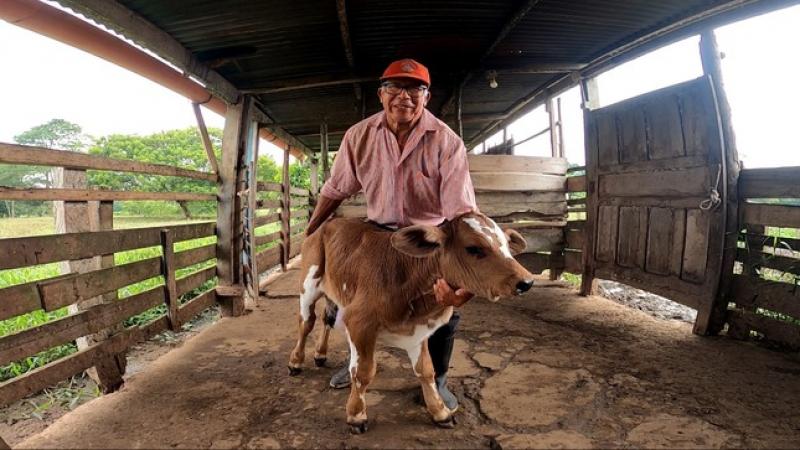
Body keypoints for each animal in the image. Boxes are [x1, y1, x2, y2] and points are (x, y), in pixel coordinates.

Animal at [288, 211, 535, 433]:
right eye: (473, 248)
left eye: (506, 245)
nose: (526, 281)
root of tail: (327, 222)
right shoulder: (359, 320)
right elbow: (363, 371)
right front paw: (356, 416)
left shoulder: (420, 329)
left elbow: (426, 370)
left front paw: (440, 412)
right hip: (308, 284)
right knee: (306, 322)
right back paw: (296, 362)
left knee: (327, 318)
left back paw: (320, 354)